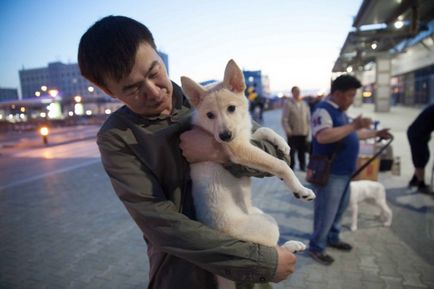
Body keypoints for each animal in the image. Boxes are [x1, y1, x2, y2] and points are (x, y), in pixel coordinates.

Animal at [181, 59, 316, 288]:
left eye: (231, 108)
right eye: (210, 115)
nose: (224, 136)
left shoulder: (245, 138)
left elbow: (261, 131)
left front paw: (282, 144)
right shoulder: (239, 150)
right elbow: (280, 165)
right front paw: (300, 189)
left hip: (260, 213)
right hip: (269, 225)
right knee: (272, 250)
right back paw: (291, 246)